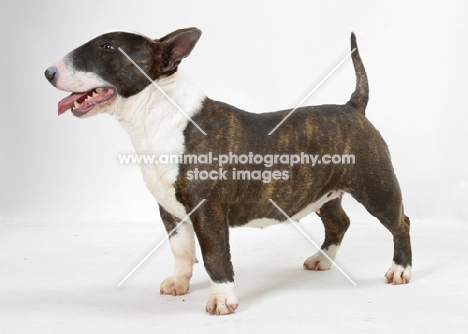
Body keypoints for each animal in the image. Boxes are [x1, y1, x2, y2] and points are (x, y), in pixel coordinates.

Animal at [44, 27, 410, 314]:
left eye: (107, 47)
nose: (48, 72)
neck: (156, 117)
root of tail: (354, 108)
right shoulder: (169, 210)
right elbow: (181, 251)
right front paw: (179, 284)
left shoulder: (208, 212)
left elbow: (215, 256)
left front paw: (222, 300)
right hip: (324, 192)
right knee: (339, 221)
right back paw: (322, 259)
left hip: (375, 186)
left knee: (399, 222)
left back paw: (400, 270)